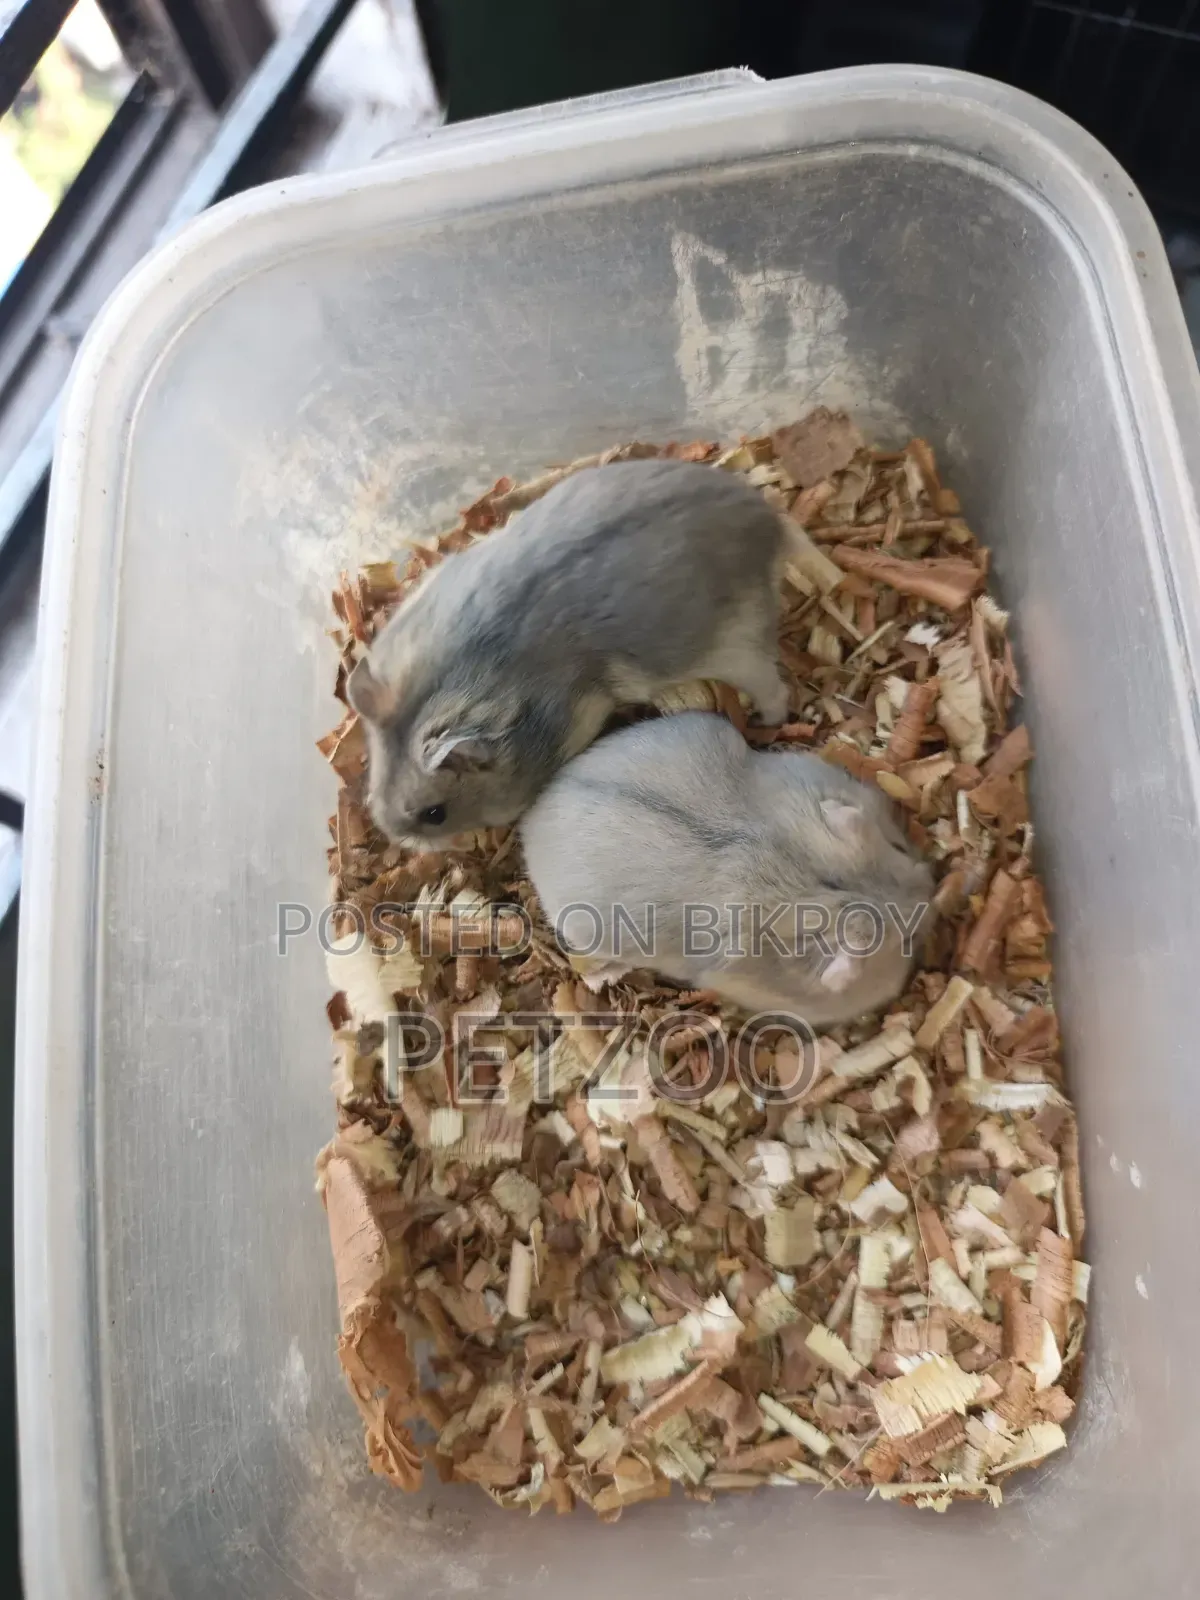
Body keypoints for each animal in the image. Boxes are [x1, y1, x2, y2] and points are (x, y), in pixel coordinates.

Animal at [348, 459, 817, 846]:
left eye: (434, 813)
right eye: (373, 791)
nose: (392, 834)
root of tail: (769, 520)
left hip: (738, 645)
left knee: (773, 688)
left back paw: (768, 722)